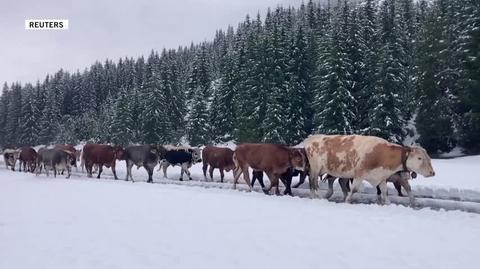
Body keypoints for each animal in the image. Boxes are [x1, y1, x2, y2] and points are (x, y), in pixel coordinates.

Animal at [306, 134, 436, 203]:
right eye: (419, 158)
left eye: (429, 157)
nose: (432, 172)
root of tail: (312, 137)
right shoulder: (359, 174)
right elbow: (354, 190)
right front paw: (347, 201)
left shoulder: (381, 177)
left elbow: (385, 192)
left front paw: (388, 203)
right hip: (315, 168)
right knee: (314, 183)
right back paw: (318, 197)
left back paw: (314, 196)